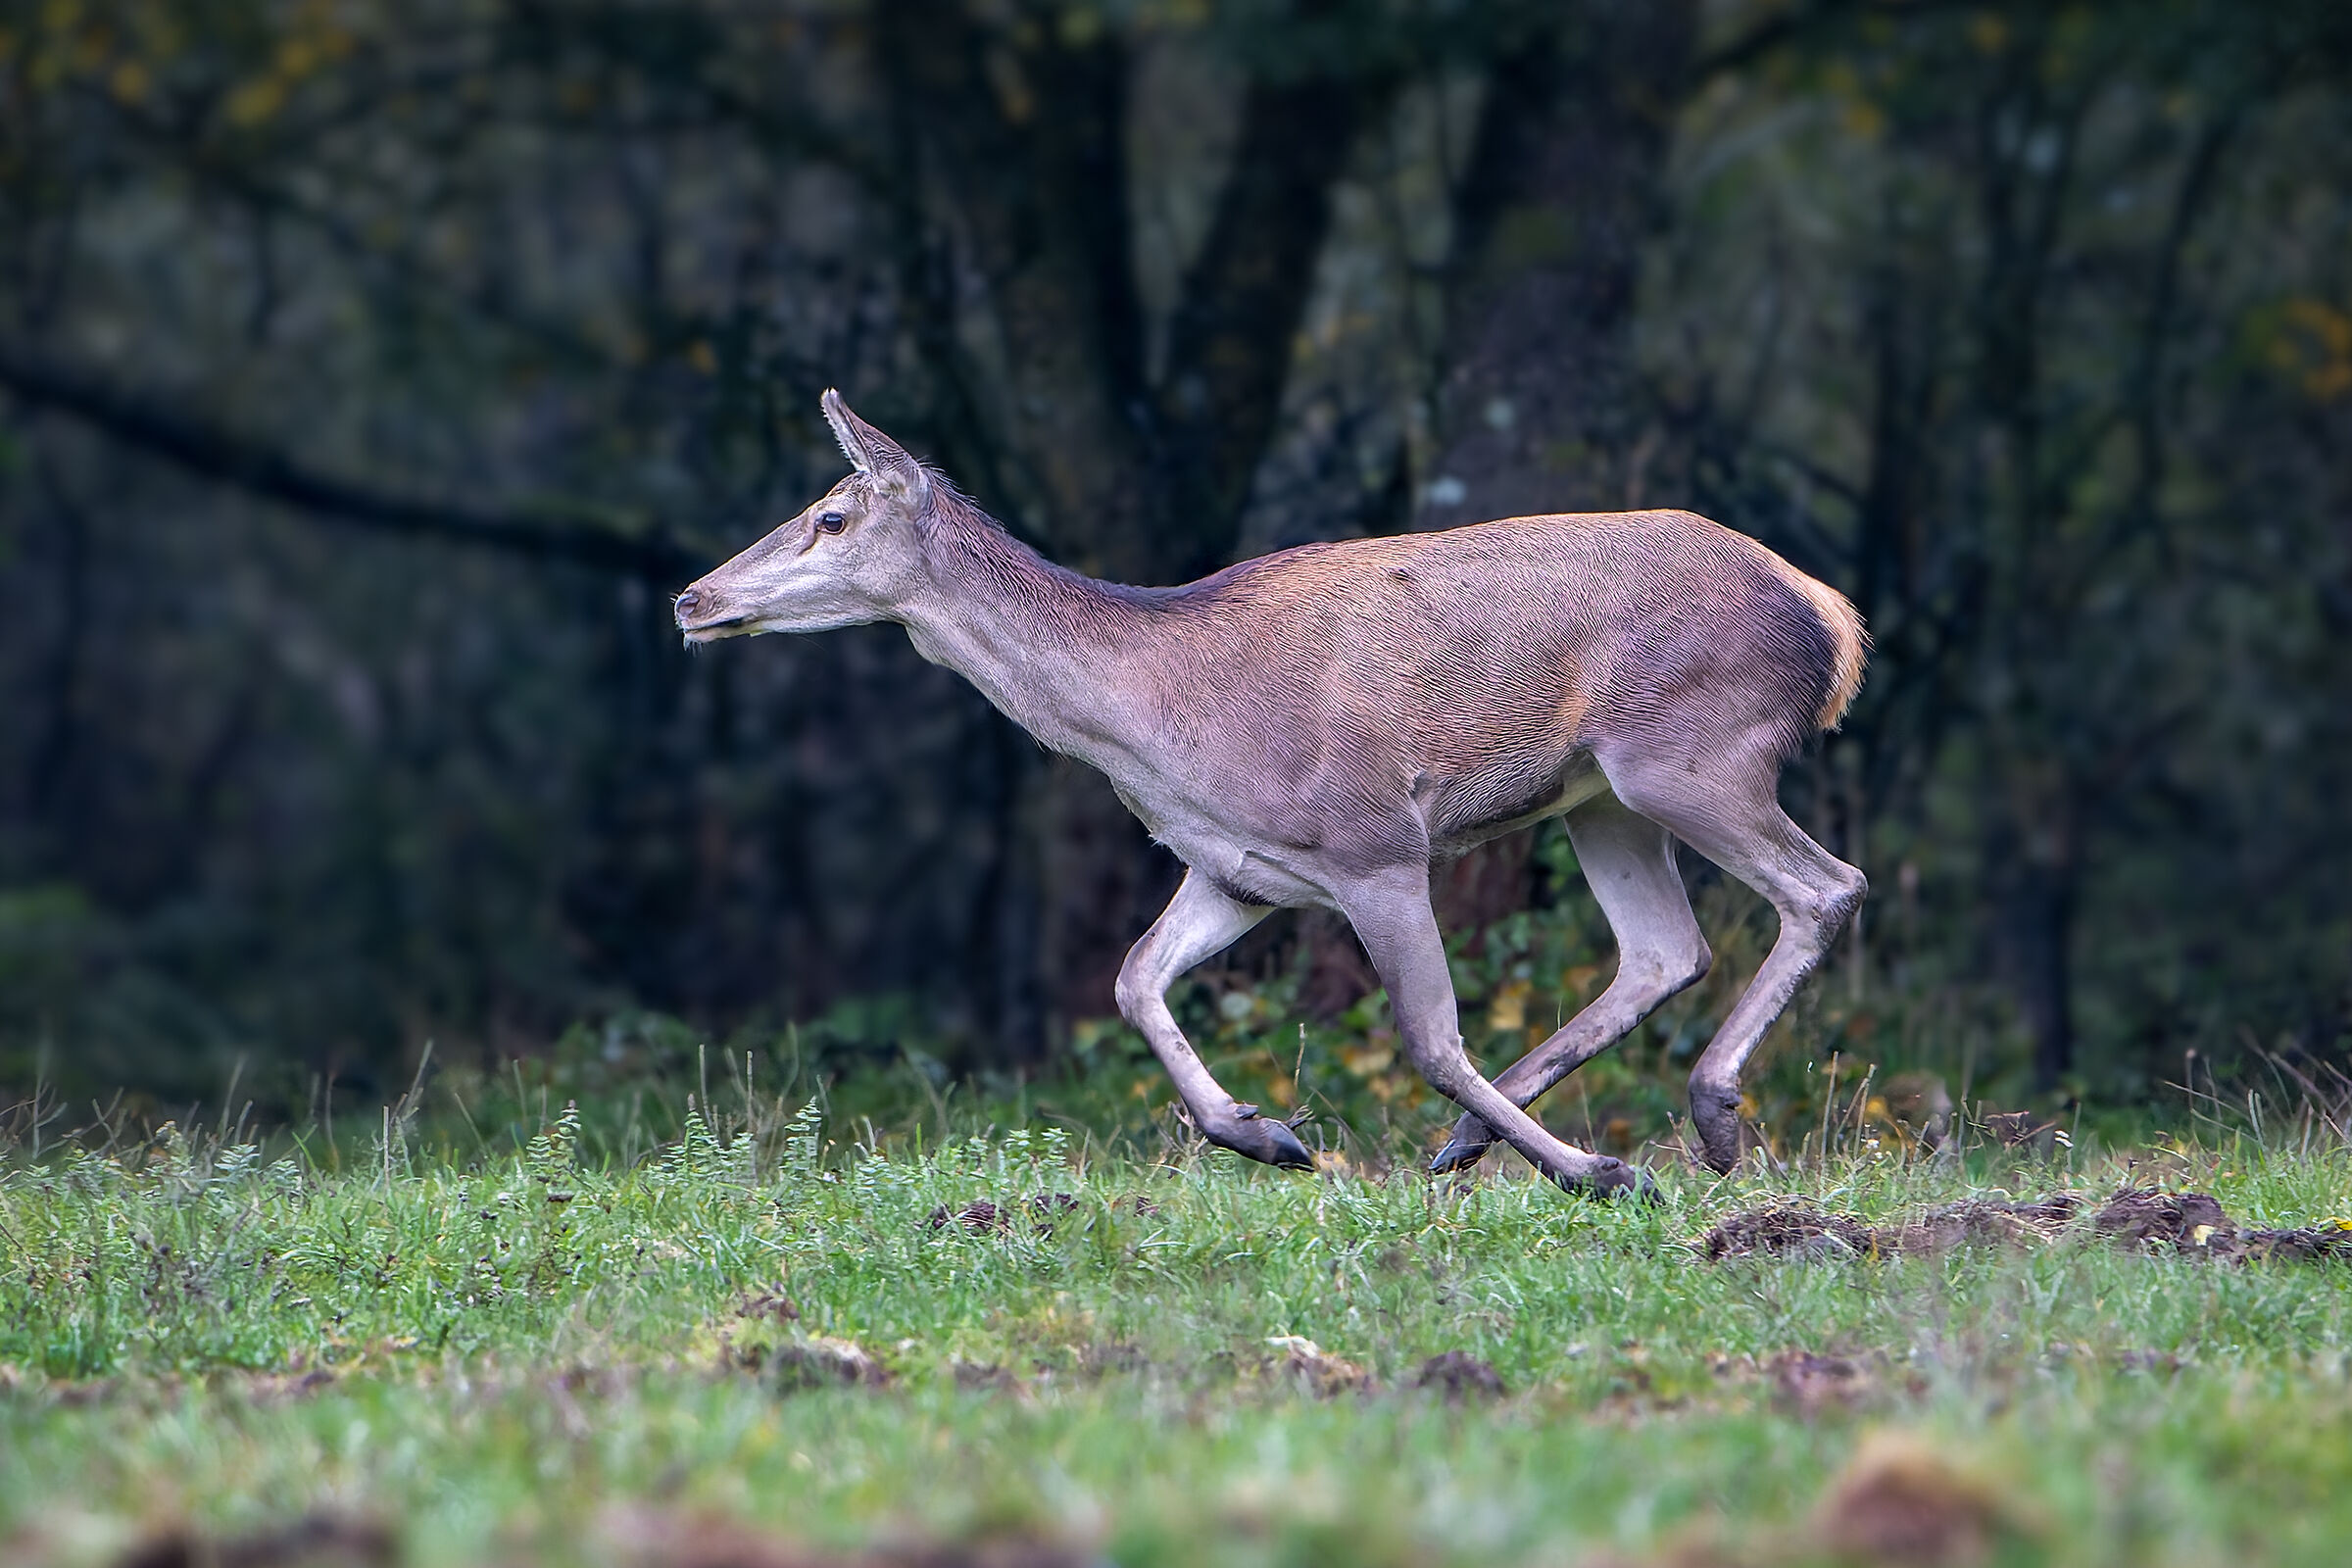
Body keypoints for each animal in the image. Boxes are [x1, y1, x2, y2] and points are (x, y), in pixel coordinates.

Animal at [673, 392, 1868, 1194]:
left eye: (831, 517)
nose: (693, 597)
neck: (1165, 725)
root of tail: (1830, 615)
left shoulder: (1375, 843)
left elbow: (1429, 1041)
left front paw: (1601, 1173)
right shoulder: (1240, 870)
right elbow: (1131, 979)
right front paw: (1261, 1133)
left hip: (1691, 753)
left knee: (1825, 887)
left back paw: (1700, 1118)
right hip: (1603, 800)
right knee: (1667, 948)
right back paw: (1488, 1140)